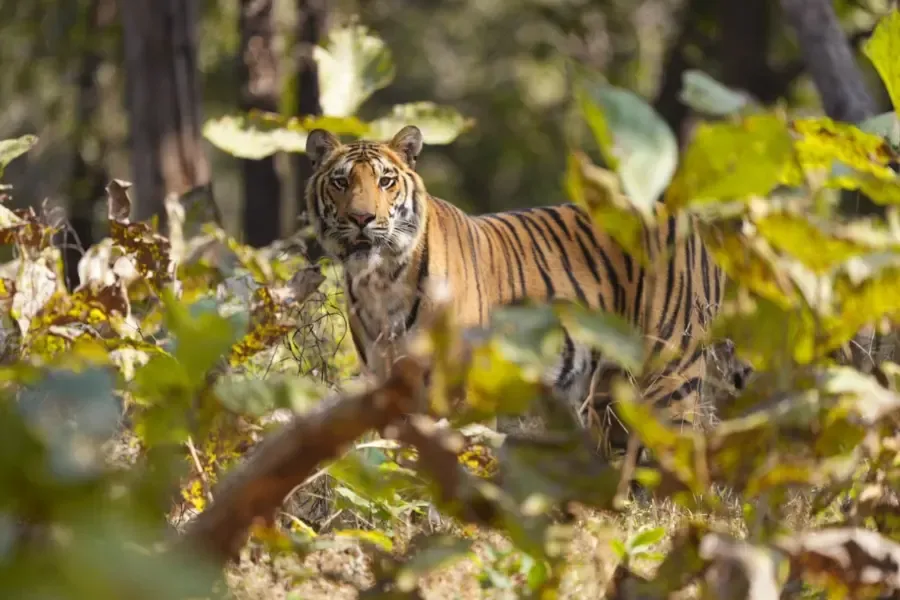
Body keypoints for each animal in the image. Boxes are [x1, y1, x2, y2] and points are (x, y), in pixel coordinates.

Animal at [304, 124, 737, 453]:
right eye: (341, 182)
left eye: (386, 181)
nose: (362, 218)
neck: (381, 279)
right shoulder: (383, 388)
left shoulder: (460, 390)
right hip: (609, 391)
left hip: (670, 376)